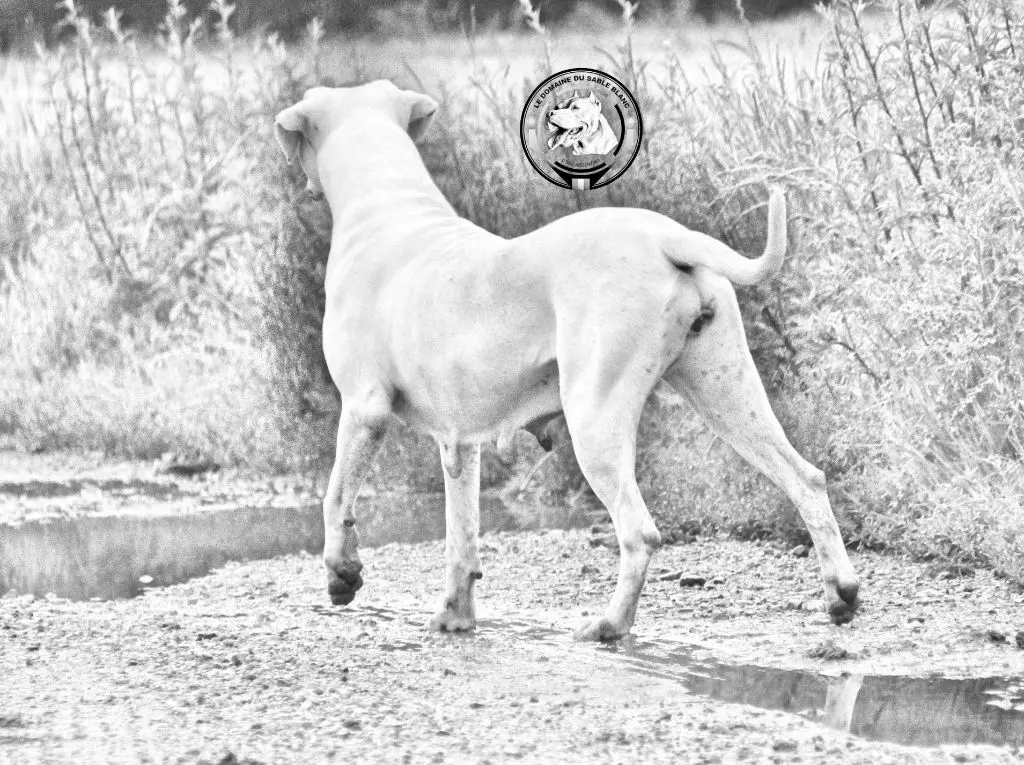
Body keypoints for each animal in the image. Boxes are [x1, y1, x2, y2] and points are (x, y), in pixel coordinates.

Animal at [274, 80, 860, 641]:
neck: (389, 207)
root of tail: (666, 236)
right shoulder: (459, 443)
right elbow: (460, 536)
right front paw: (454, 617)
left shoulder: (363, 409)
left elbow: (335, 498)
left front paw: (342, 575)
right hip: (730, 397)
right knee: (806, 480)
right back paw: (841, 593)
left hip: (595, 419)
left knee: (639, 532)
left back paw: (610, 625)